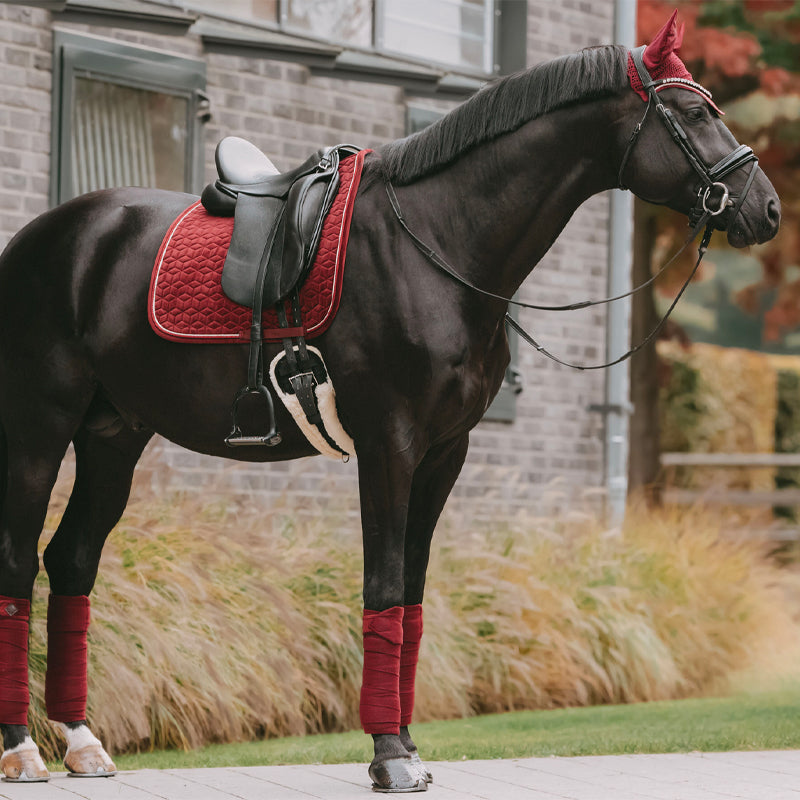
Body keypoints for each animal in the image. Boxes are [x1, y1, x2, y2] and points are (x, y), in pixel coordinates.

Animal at [0, 18, 780, 792]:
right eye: (693, 112)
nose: (766, 208)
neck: (437, 245)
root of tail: (43, 239)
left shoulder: (443, 454)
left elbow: (411, 596)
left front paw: (404, 743)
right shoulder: (389, 446)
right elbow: (382, 586)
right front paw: (389, 756)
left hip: (114, 436)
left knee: (72, 561)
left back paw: (82, 741)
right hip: (39, 429)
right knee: (18, 563)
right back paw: (23, 750)